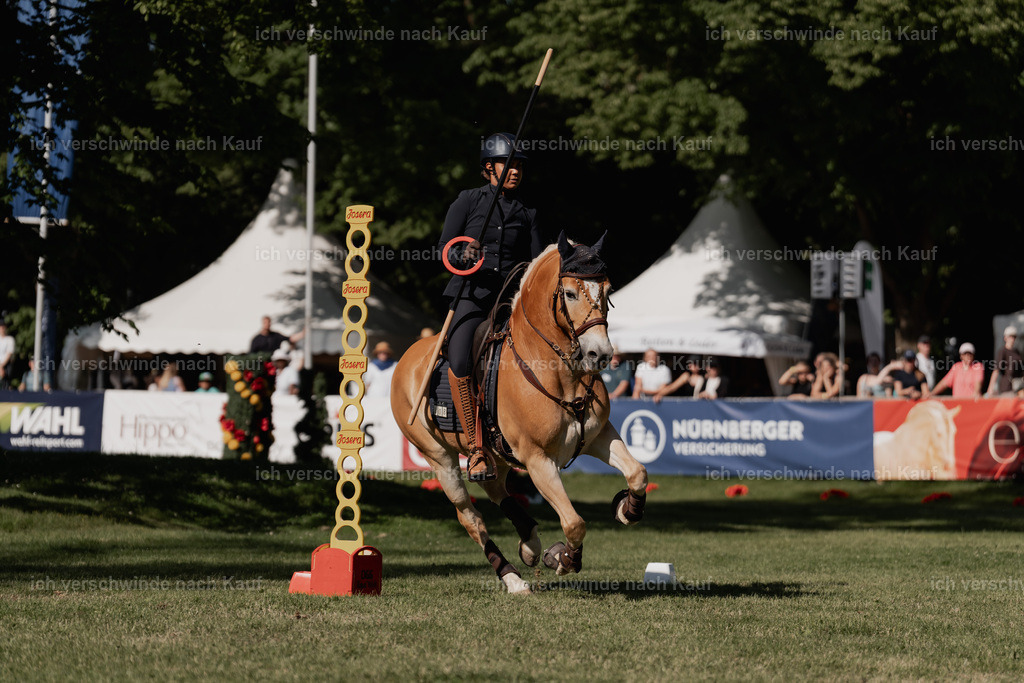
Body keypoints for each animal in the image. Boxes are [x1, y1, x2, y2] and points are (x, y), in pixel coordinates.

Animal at [390, 232, 649, 594]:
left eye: (608, 291)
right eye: (570, 293)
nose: (599, 354)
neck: (559, 372)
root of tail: (407, 357)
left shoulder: (599, 436)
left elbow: (638, 472)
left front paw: (628, 508)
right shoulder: (537, 459)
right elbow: (574, 523)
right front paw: (565, 559)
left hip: (494, 455)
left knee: (497, 488)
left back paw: (530, 542)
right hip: (438, 458)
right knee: (471, 517)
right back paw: (512, 576)